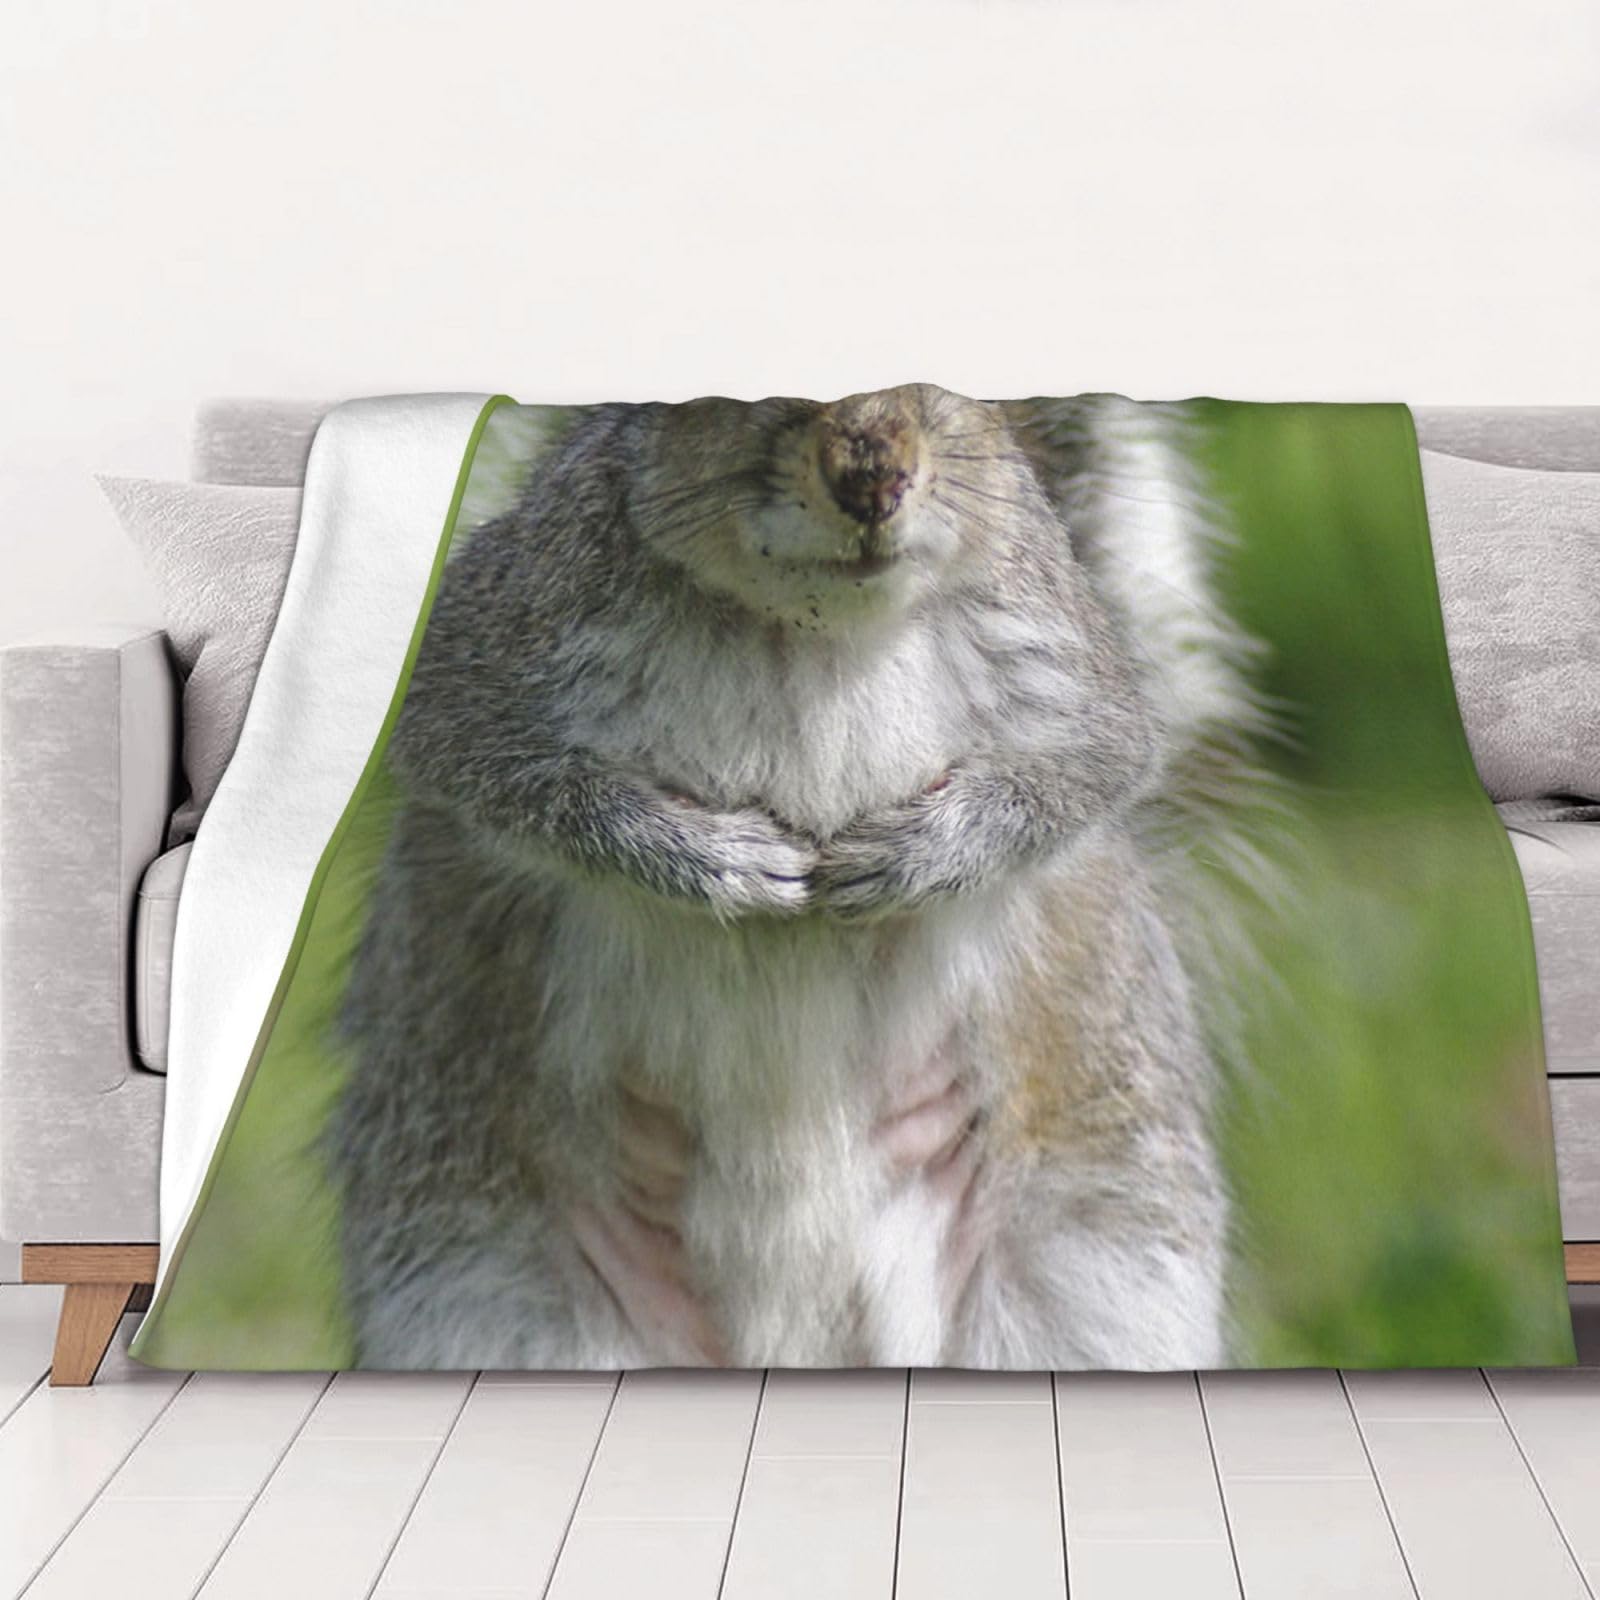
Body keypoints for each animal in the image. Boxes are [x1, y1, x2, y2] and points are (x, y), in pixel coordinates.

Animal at [330, 384, 1274, 1370]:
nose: (873, 479)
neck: (818, 627)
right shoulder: (499, 635)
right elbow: (481, 762)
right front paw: (708, 859)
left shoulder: (1070, 658)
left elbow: (1093, 768)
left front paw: (920, 854)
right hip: (490, 1296)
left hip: (1099, 1276)